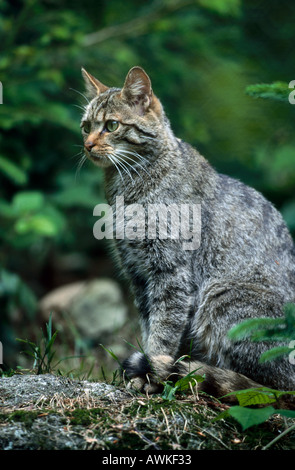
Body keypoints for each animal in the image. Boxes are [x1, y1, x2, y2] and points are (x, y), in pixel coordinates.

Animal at [80, 66, 295, 400]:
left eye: (111, 125)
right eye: (86, 126)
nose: (87, 145)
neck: (128, 184)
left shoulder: (171, 273)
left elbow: (164, 329)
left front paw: (152, 373)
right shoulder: (138, 274)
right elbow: (149, 325)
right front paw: (152, 369)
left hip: (221, 296)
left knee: (272, 388)